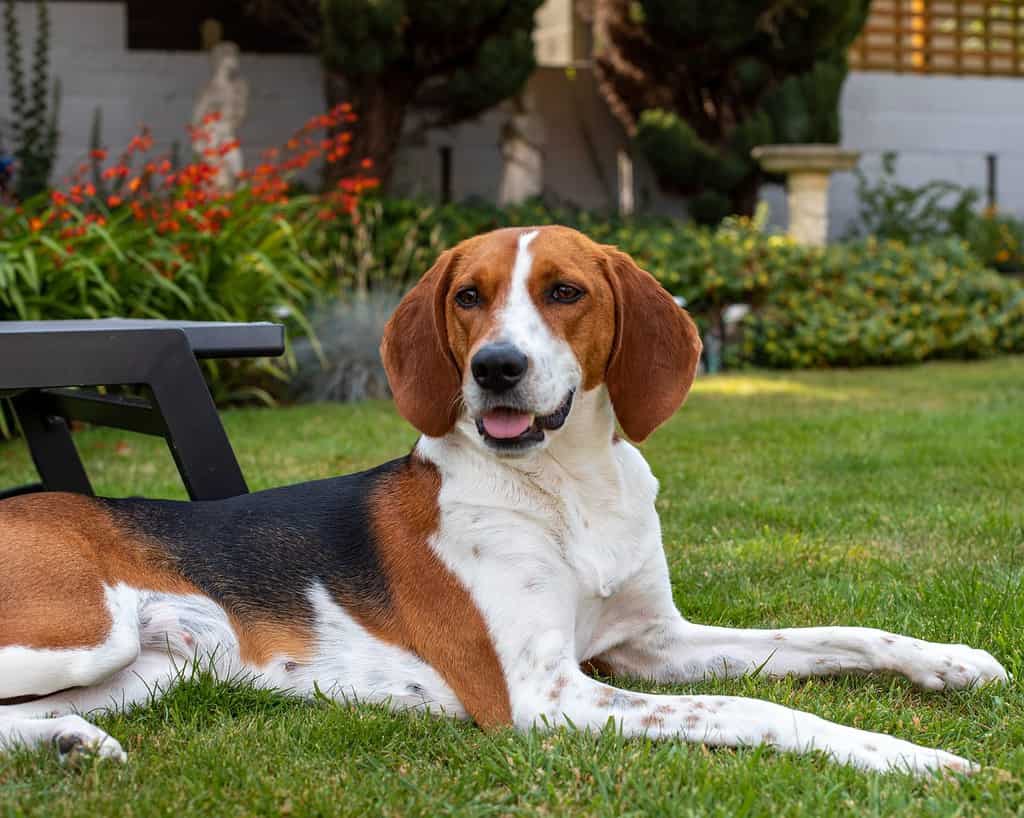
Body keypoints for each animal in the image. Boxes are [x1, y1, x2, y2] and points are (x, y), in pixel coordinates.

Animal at [0, 225, 1007, 773]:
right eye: (468, 298)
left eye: (564, 292)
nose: (496, 369)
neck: (570, 490)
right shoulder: (543, 694)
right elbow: (758, 710)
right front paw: (907, 756)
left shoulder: (653, 643)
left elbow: (831, 635)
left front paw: (951, 663)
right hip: (83, 633)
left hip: (154, 669)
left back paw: (69, 745)